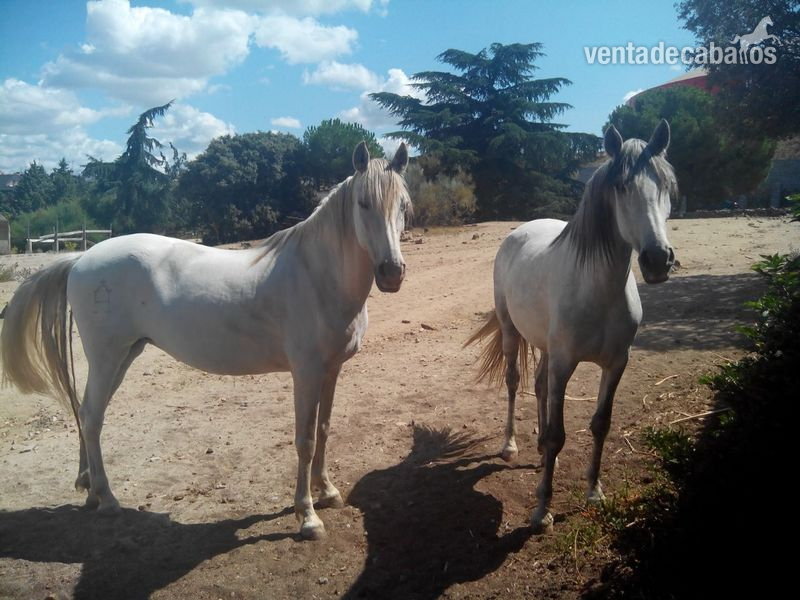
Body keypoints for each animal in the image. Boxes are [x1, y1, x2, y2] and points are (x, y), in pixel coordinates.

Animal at [0, 141, 411, 541]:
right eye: (363, 203)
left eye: (403, 206)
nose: (392, 272)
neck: (316, 275)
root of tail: (81, 258)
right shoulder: (306, 373)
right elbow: (305, 440)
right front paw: (307, 516)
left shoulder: (331, 370)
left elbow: (323, 430)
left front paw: (327, 492)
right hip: (106, 357)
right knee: (91, 417)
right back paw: (107, 498)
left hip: (123, 356)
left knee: (87, 414)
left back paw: (90, 492)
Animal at [466, 121, 676, 533]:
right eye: (621, 186)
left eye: (664, 184)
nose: (658, 259)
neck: (599, 289)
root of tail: (520, 231)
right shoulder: (565, 364)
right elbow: (557, 434)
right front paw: (542, 509)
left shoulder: (616, 364)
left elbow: (600, 424)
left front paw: (594, 490)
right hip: (513, 332)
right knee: (515, 382)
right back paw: (511, 445)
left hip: (547, 347)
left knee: (538, 385)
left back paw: (541, 455)